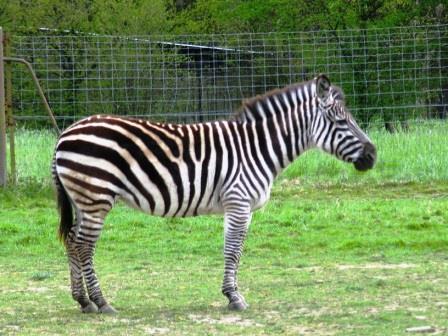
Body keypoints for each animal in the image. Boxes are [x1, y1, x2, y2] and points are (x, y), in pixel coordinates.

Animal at [51, 75, 374, 314]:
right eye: (342, 122)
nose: (372, 156)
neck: (257, 148)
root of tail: (65, 134)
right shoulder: (238, 202)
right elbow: (233, 249)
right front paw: (234, 297)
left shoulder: (240, 206)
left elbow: (235, 249)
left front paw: (231, 294)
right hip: (96, 197)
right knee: (84, 246)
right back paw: (101, 302)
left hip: (84, 199)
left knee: (72, 241)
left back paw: (83, 301)